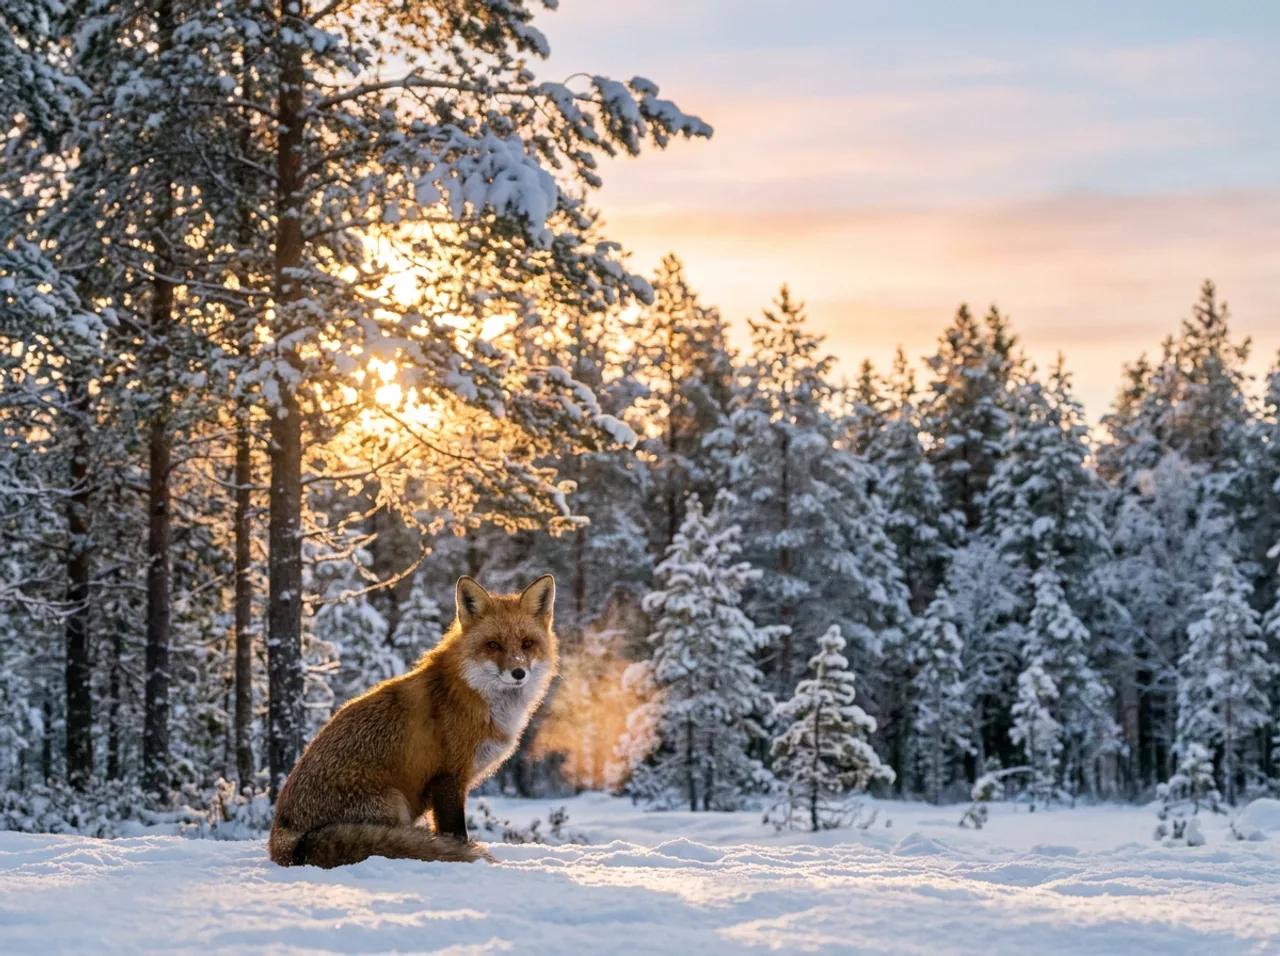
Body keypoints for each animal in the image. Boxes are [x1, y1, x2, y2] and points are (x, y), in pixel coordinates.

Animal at [268, 574, 558, 868]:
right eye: (493, 645)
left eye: (527, 644)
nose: (518, 672)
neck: (477, 697)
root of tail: (284, 842)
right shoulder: (448, 776)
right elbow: (456, 834)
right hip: (394, 801)